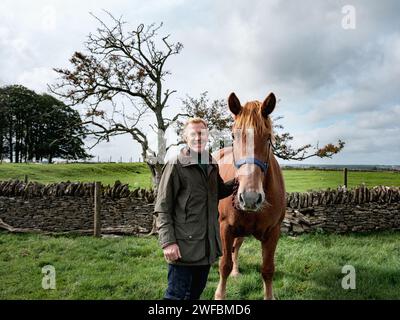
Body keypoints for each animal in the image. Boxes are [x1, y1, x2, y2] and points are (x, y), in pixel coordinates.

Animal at [214, 92, 286, 300]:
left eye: (268, 137)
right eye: (233, 135)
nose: (250, 198)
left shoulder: (273, 232)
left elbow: (268, 269)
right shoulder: (225, 227)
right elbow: (224, 265)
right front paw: (219, 295)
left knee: (236, 248)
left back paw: (237, 272)